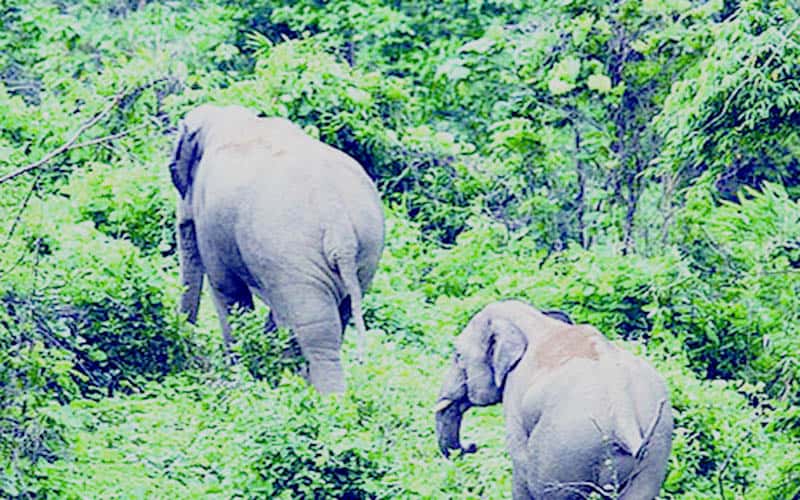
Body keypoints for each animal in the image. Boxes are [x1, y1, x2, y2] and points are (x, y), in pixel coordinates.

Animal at [169, 104, 384, 394]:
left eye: (174, 173)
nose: (187, 344)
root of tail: (339, 228)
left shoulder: (210, 222)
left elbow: (226, 288)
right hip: (363, 257)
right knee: (332, 321)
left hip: (292, 255)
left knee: (312, 333)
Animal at [435, 300, 673, 499]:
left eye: (457, 355)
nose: (472, 446)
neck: (534, 319)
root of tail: (623, 414)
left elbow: (520, 464)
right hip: (655, 450)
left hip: (564, 447)